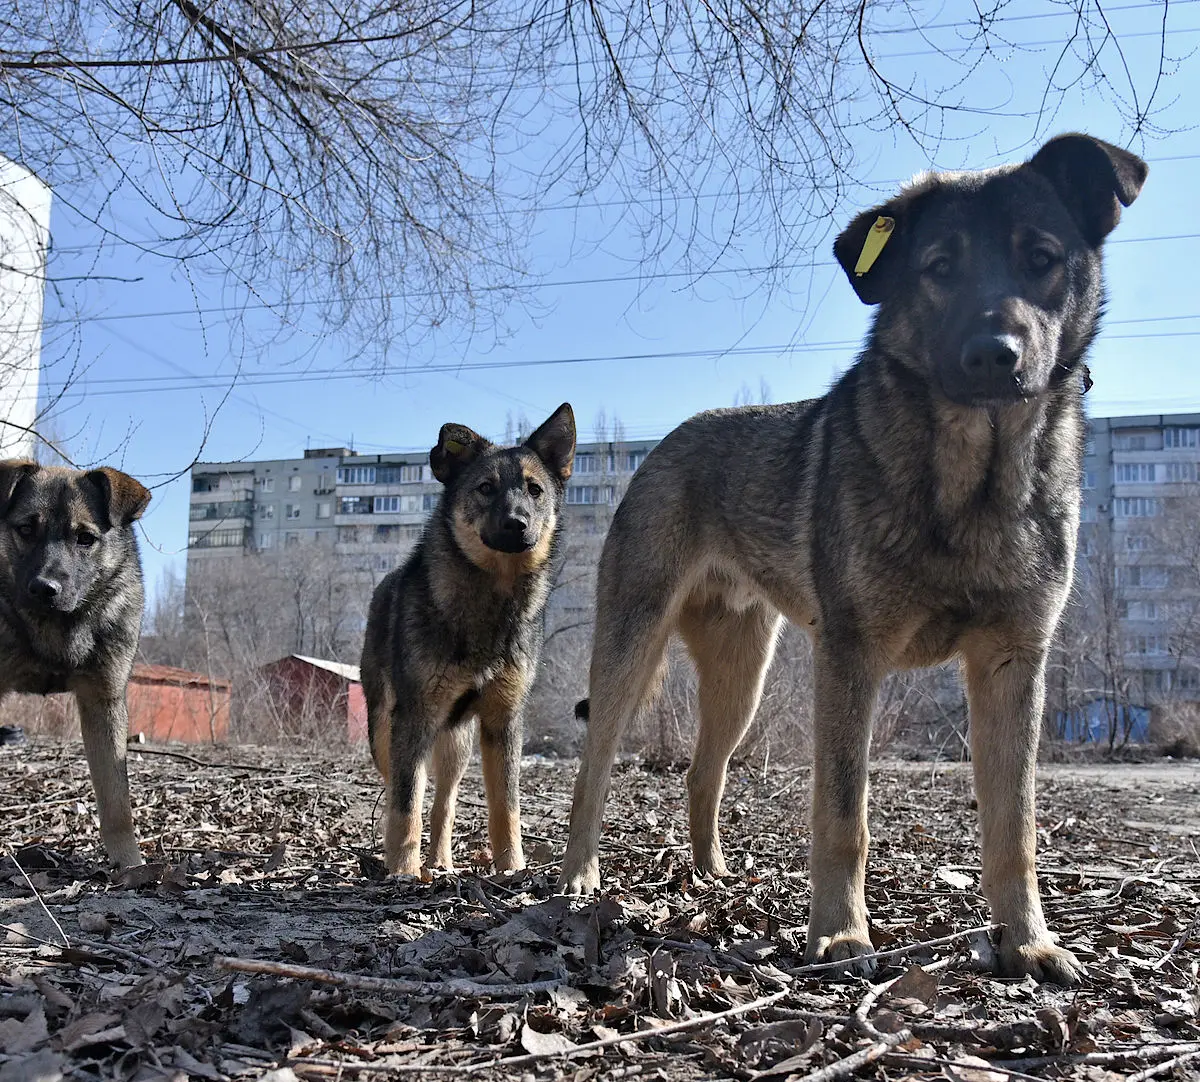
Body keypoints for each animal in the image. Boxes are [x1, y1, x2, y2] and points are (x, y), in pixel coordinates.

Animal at [0, 460, 152, 868]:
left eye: (85, 538)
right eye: (26, 529)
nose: (44, 589)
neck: (57, 627)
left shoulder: (104, 701)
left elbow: (116, 802)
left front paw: (130, 864)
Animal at [360, 403, 576, 878]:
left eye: (534, 489)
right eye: (485, 488)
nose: (517, 524)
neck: (491, 602)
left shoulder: (503, 722)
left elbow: (506, 808)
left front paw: (512, 868)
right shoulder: (414, 718)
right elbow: (405, 806)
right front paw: (402, 873)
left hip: (456, 747)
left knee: (444, 805)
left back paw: (441, 863)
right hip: (386, 733)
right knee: (407, 790)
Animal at [556, 131, 1147, 988]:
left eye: (1041, 257)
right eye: (939, 267)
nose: (992, 356)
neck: (970, 486)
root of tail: (666, 443)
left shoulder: (1013, 666)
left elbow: (1015, 829)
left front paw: (1028, 941)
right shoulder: (850, 660)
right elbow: (843, 817)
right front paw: (840, 937)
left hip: (742, 678)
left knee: (703, 770)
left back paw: (711, 876)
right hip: (630, 651)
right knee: (594, 771)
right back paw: (578, 880)